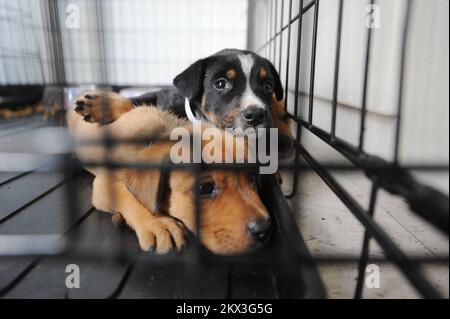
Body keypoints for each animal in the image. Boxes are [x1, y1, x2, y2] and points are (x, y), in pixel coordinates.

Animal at [67, 91, 270, 256]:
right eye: (205, 188)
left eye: (252, 178)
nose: (264, 230)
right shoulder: (104, 184)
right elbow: (132, 196)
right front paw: (158, 223)